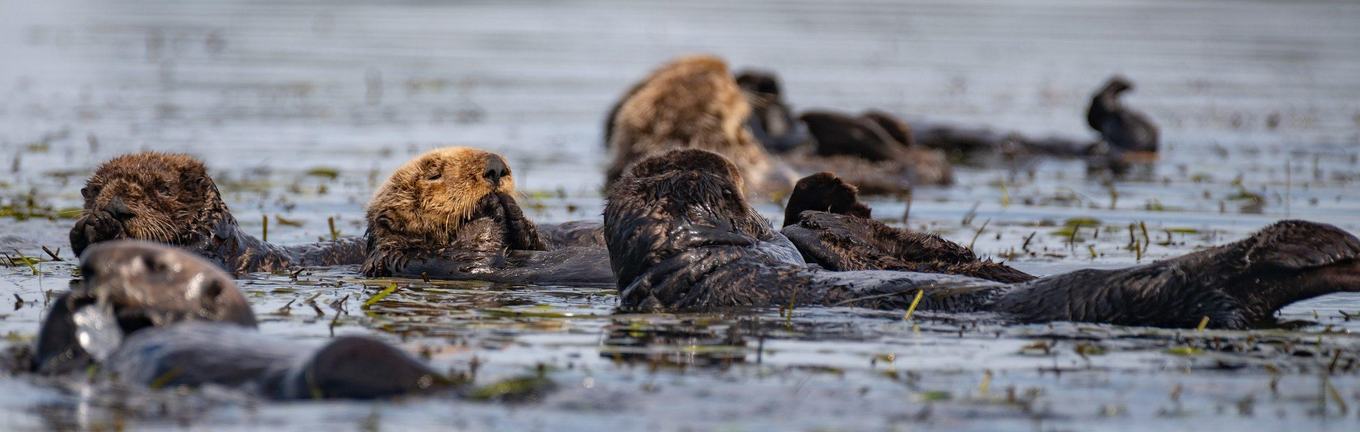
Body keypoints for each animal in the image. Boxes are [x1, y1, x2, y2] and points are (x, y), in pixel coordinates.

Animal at [361, 147, 613, 284]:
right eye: (433, 174)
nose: (496, 167)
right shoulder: (419, 261)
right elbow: (477, 254)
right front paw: (490, 207)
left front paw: (513, 211)